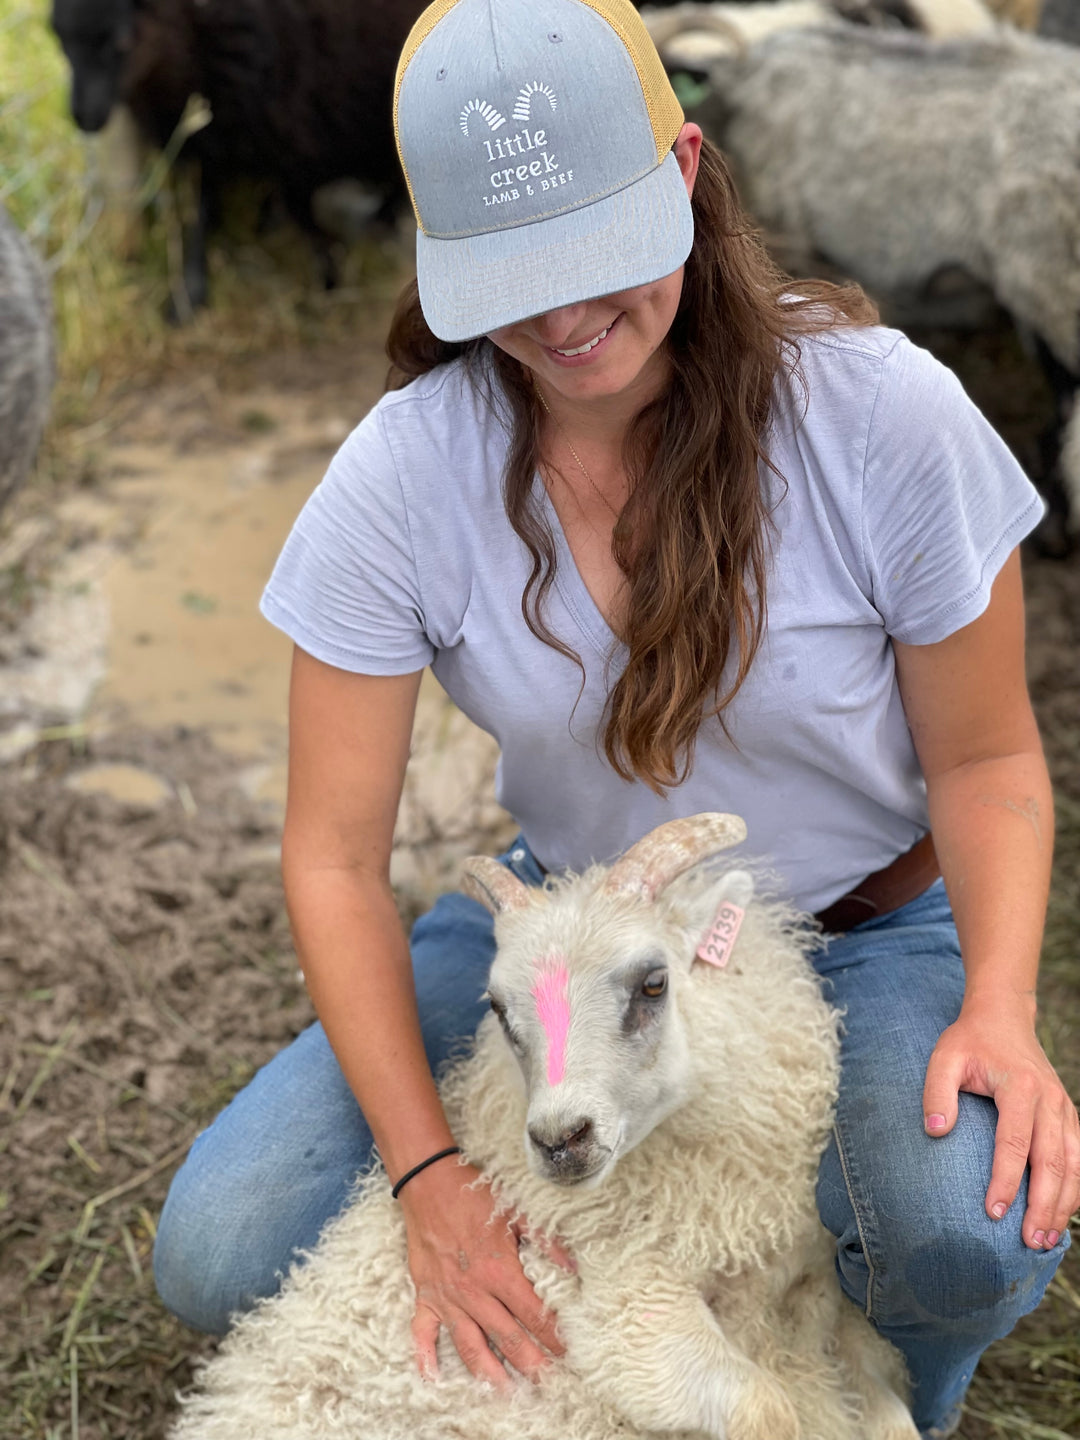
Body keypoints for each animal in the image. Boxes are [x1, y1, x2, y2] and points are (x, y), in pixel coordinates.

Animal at [167, 812, 921, 1440]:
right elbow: (766, 1410)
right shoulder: (629, 1319)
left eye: (654, 982)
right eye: (499, 1008)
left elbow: (888, 1414)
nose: (561, 1140)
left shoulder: (817, 1297)